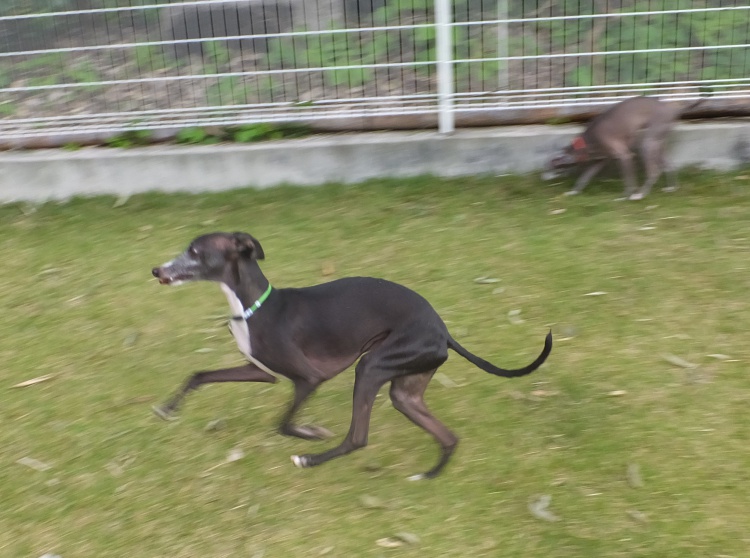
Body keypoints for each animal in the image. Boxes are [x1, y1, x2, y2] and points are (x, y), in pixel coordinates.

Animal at [151, 232, 552, 479]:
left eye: (195, 252)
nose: (156, 270)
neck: (253, 306)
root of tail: (444, 333)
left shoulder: (308, 378)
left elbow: (282, 424)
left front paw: (310, 434)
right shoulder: (260, 371)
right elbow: (200, 375)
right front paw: (168, 408)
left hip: (370, 367)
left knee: (357, 438)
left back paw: (310, 460)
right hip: (404, 390)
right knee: (447, 436)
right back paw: (429, 475)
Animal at [543, 95, 704, 200]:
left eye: (551, 165)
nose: (541, 177)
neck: (588, 141)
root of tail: (672, 110)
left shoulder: (625, 156)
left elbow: (629, 180)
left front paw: (626, 196)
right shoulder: (600, 160)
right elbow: (584, 177)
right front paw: (574, 192)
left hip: (647, 144)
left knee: (654, 171)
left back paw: (641, 194)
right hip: (658, 144)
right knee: (670, 164)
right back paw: (671, 188)